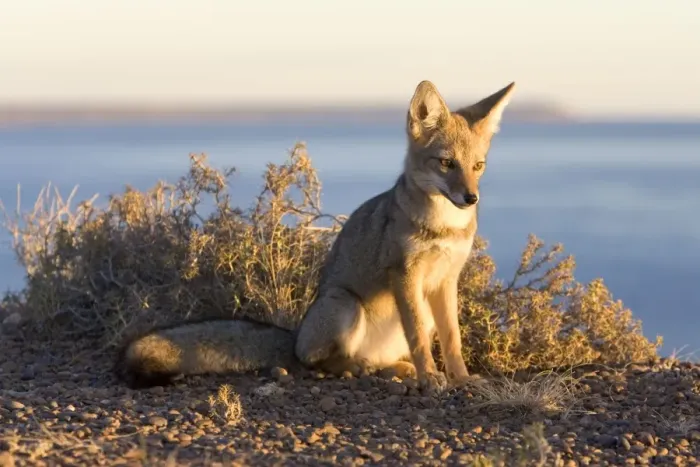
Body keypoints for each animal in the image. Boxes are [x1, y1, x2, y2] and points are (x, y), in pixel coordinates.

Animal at [116, 79, 516, 394]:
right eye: (446, 163)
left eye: (478, 166)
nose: (471, 198)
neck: (443, 227)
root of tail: (294, 337)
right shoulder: (406, 274)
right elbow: (419, 337)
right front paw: (431, 378)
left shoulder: (446, 280)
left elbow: (452, 339)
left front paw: (461, 378)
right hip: (346, 305)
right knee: (318, 362)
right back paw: (359, 368)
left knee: (367, 360)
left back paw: (392, 369)